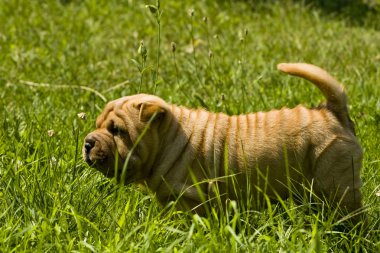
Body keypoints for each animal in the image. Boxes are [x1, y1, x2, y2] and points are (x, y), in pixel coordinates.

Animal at [84, 63, 366, 223]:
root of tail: (332, 111)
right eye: (98, 125)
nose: (87, 142)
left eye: (117, 131)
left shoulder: (191, 200)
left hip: (335, 182)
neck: (169, 140)